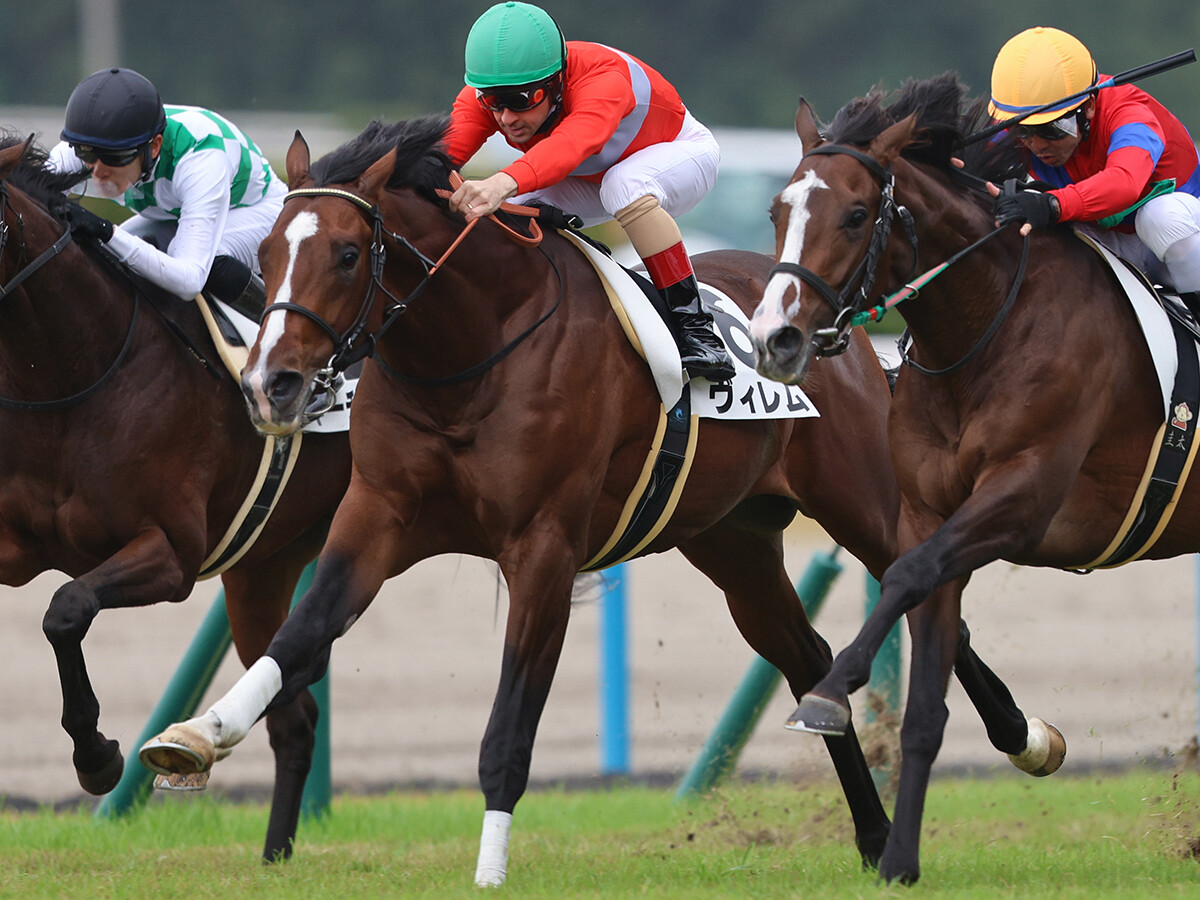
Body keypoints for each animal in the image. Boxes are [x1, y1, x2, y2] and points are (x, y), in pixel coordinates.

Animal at [0, 133, 350, 859]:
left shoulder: (173, 556)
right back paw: (274, 858)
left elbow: (65, 609)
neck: (73, 378)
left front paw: (97, 757)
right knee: (293, 716)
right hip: (261, 571)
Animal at [136, 116, 1060, 883]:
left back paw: (1026, 742)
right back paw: (868, 827)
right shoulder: (376, 518)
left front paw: (489, 871)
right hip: (732, 544)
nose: (272, 384)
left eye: (344, 255)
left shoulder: (544, 548)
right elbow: (298, 636)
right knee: (806, 655)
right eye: (264, 257)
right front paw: (197, 736)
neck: (467, 354)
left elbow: (509, 729)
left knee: (927, 593)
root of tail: (825, 324)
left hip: (864, 501)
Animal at [748, 72, 1190, 888]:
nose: (773, 340)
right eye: (777, 211)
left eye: (856, 214)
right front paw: (899, 858)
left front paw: (828, 693)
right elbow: (925, 691)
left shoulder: (1022, 498)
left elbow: (904, 575)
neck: (989, 326)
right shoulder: (929, 512)